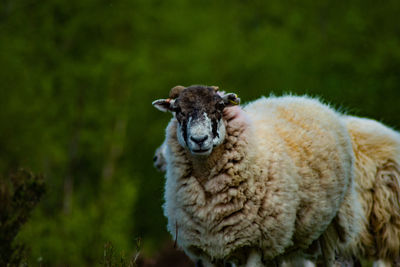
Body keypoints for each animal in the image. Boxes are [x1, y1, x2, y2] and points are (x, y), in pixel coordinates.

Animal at [151, 85, 362, 266]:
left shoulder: (255, 244)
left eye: (219, 106)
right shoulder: (205, 251)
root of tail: (303, 98)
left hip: (334, 225)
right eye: (177, 110)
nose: (199, 139)